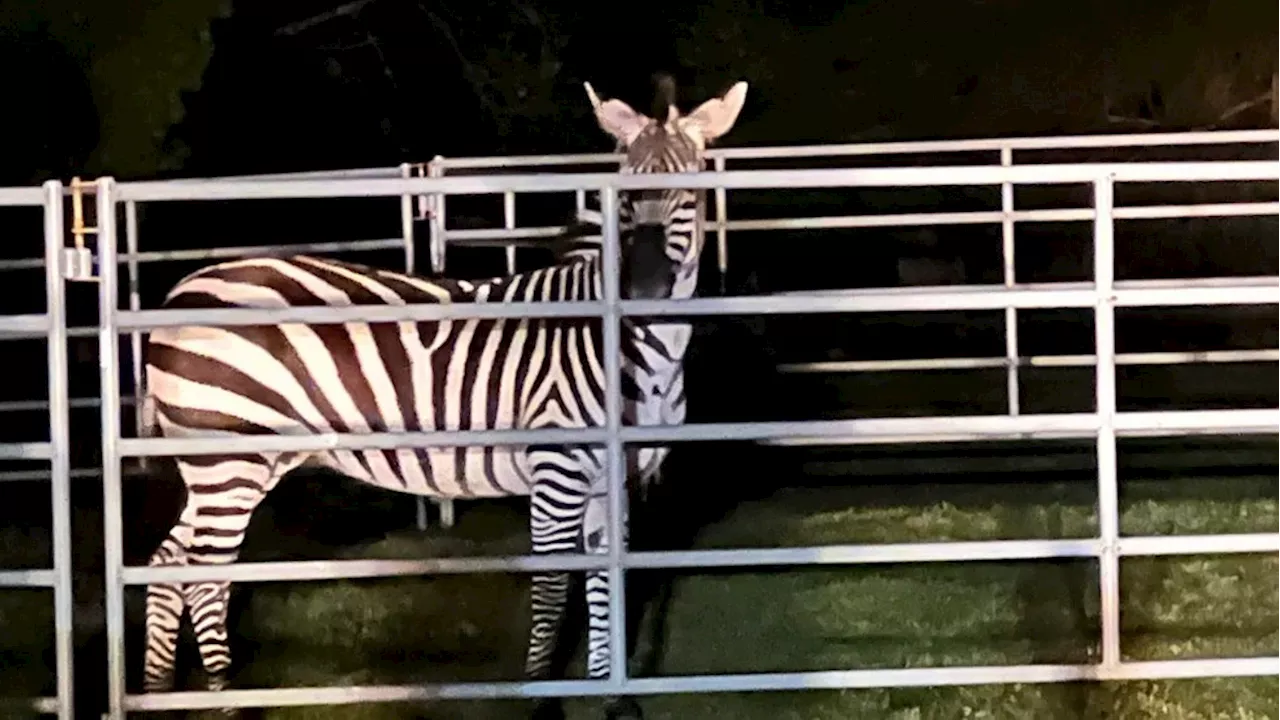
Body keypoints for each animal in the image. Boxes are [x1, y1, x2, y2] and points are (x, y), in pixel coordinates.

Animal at [135, 75, 747, 712]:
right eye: (623, 199)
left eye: (690, 194)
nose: (645, 285)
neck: (630, 343)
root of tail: (183, 288)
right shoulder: (556, 469)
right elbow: (553, 588)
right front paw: (542, 697)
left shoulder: (615, 478)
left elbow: (608, 578)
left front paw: (612, 694)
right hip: (230, 458)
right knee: (205, 578)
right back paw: (225, 701)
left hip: (227, 464)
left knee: (168, 565)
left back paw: (159, 692)